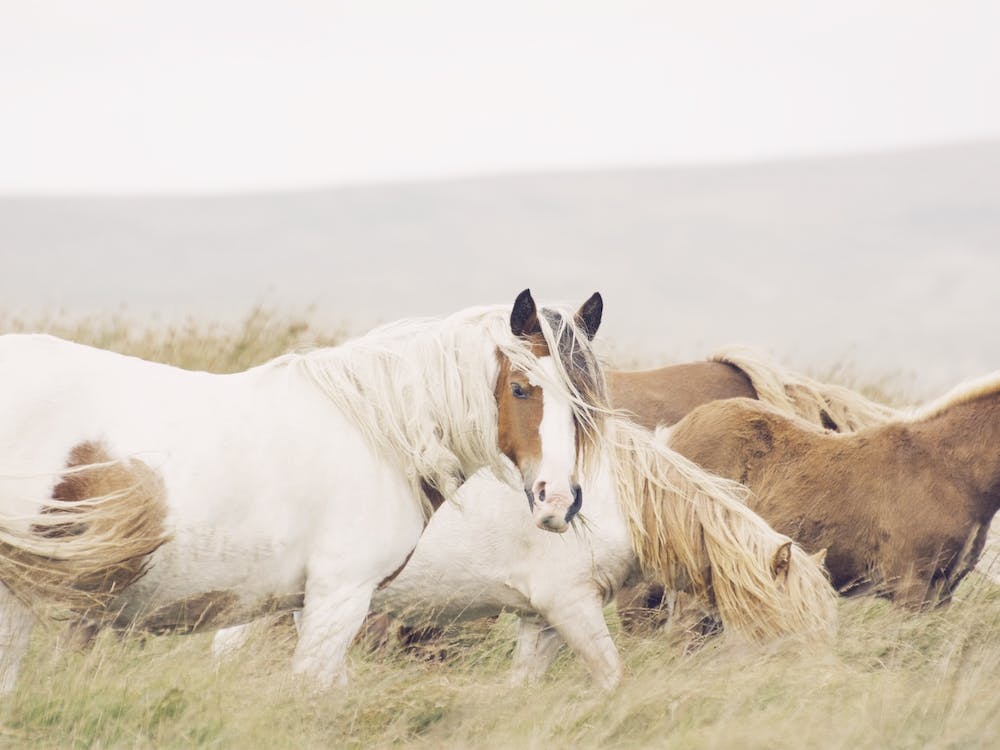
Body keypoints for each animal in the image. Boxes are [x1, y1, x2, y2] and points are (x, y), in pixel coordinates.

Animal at [0, 289, 609, 694]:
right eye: (521, 388)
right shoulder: (340, 597)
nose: (558, 500)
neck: (377, 431)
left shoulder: (311, 603)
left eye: (586, 400)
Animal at [216, 348, 854, 689]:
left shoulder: (540, 619)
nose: (828, 687)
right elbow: (612, 676)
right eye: (792, 632)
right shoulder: (570, 606)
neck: (614, 498)